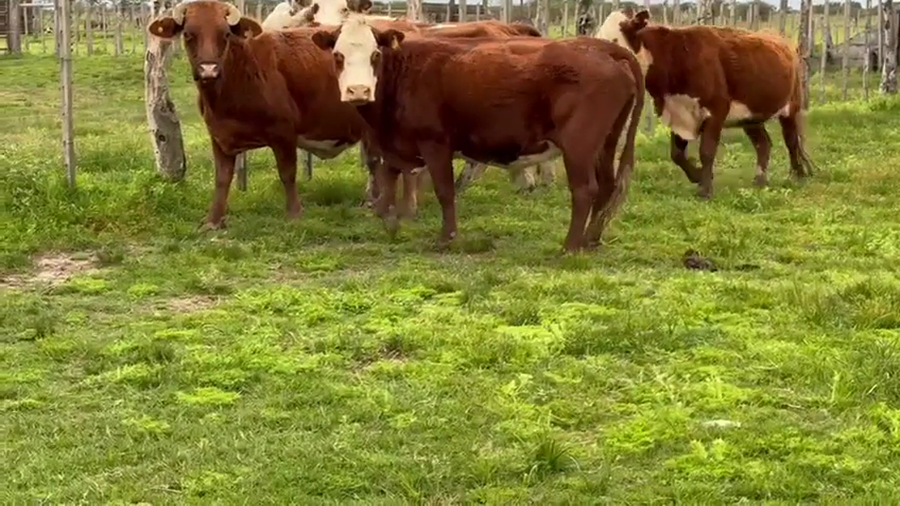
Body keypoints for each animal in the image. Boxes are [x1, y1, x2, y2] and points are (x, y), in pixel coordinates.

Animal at [146, 1, 373, 230]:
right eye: (188, 34)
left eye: (225, 34)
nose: (208, 70)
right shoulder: (219, 136)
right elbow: (222, 178)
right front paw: (213, 220)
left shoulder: (283, 133)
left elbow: (287, 174)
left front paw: (294, 214)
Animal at [311, 14, 644, 252]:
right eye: (338, 55)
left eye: (375, 55)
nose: (358, 91)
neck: (405, 73)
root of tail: (604, 48)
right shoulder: (395, 145)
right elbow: (388, 181)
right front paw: (390, 224)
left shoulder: (435, 143)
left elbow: (444, 191)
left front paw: (447, 238)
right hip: (606, 142)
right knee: (607, 185)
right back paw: (592, 239)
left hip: (579, 145)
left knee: (585, 189)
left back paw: (571, 245)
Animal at [596, 9, 817, 200]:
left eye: (614, 41)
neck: (676, 56)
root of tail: (783, 41)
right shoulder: (678, 112)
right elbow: (677, 154)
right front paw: (698, 176)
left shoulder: (716, 111)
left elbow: (707, 151)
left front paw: (705, 190)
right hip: (751, 116)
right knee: (763, 144)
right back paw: (760, 179)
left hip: (791, 107)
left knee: (791, 141)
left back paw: (797, 175)